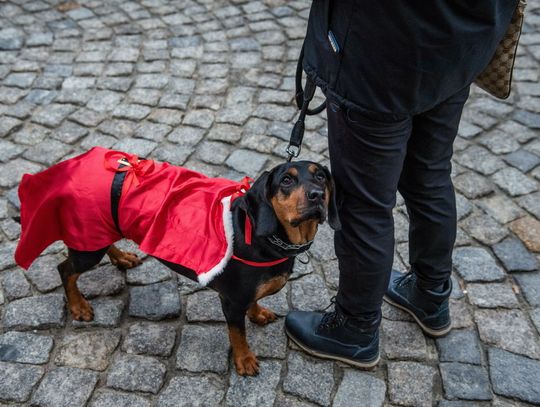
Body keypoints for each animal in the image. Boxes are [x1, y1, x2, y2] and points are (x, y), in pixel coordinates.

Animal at [14, 149, 340, 376]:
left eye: (321, 176)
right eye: (286, 180)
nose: (316, 196)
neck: (267, 237)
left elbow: (254, 302)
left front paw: (258, 313)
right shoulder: (231, 301)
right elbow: (238, 334)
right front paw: (244, 360)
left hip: (101, 230)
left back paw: (121, 257)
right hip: (87, 248)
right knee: (65, 270)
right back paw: (78, 305)